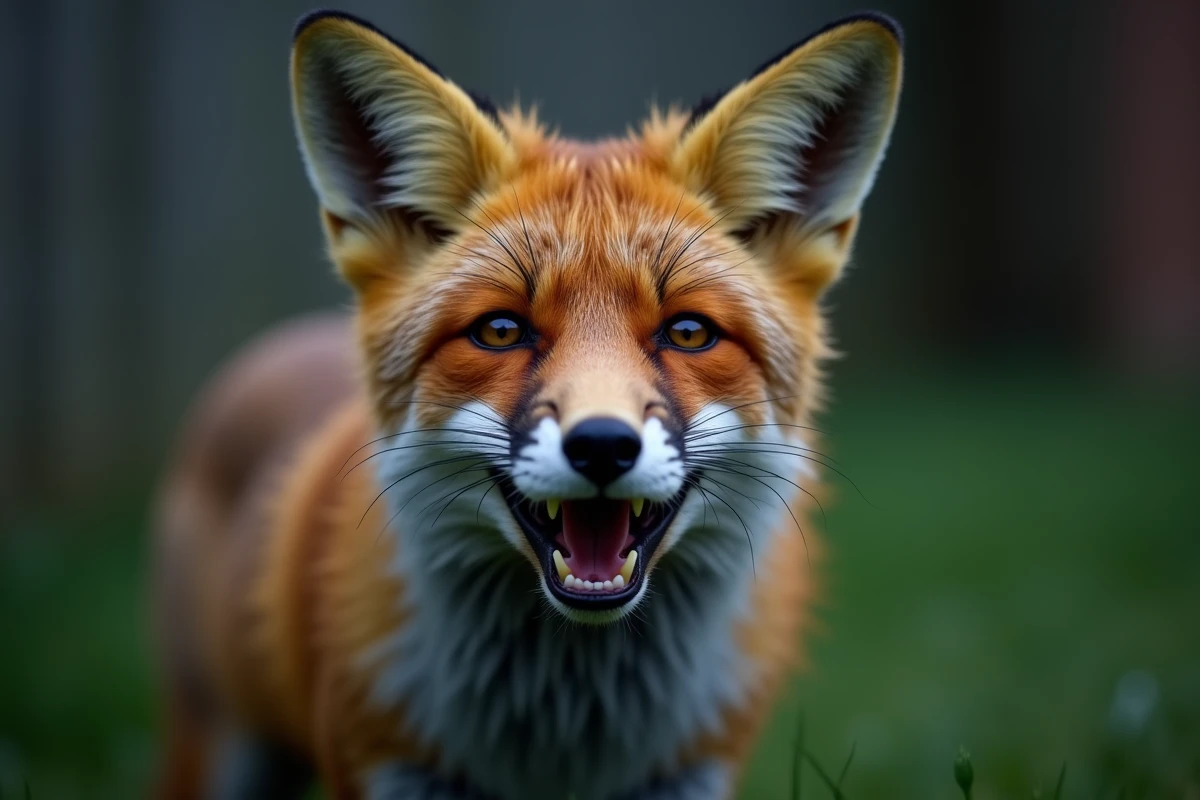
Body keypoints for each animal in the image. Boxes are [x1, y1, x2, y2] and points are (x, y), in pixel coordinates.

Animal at [152, 9, 902, 800]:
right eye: (501, 331)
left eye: (689, 332)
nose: (602, 444)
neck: (559, 735)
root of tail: (283, 341)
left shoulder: (692, 774)